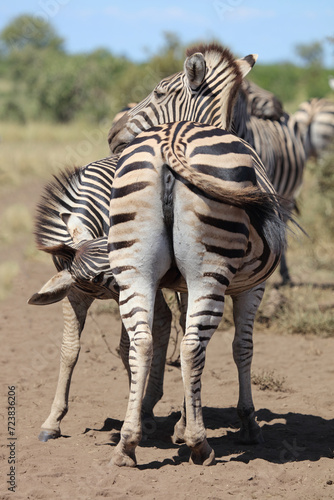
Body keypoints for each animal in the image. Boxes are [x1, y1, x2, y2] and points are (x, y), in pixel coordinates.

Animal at [28, 156, 172, 442]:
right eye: (93, 278)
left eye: (114, 246)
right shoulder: (73, 293)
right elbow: (70, 350)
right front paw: (53, 421)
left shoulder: (123, 294)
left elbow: (126, 348)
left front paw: (135, 415)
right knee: (164, 318)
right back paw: (151, 402)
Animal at [108, 120, 288, 468]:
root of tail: (171, 139)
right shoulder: (252, 288)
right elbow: (242, 348)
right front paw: (248, 424)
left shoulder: (183, 287)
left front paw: (180, 422)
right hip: (210, 269)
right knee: (192, 347)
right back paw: (200, 445)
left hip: (134, 270)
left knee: (143, 343)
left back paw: (127, 444)